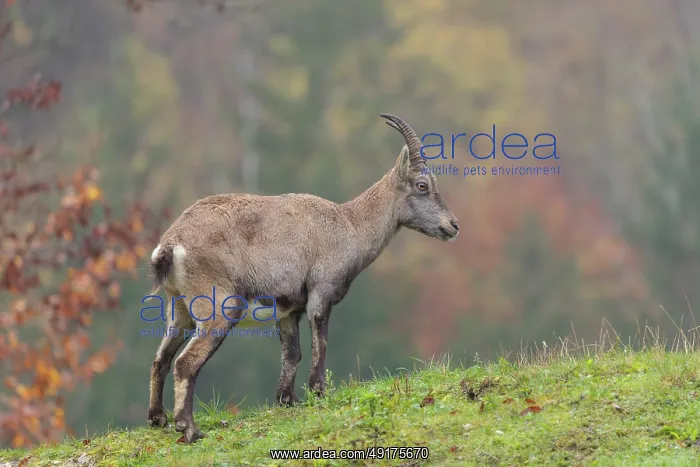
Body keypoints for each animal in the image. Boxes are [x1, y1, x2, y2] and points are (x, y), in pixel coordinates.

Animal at [145, 113, 459, 443]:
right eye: (422, 185)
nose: (453, 225)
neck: (350, 225)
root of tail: (171, 244)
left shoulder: (288, 310)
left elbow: (292, 353)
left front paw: (288, 399)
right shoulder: (321, 293)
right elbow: (320, 341)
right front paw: (318, 391)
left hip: (179, 308)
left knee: (161, 357)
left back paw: (158, 418)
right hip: (219, 306)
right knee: (185, 362)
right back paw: (189, 428)